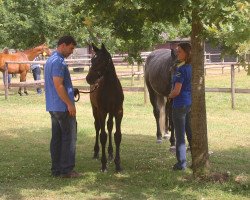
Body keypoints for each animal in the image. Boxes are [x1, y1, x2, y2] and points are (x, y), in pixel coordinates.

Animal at [86, 43, 124, 172]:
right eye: (92, 60)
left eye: (101, 60)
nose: (88, 78)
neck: (110, 88)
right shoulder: (102, 111)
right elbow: (103, 136)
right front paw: (103, 164)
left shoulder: (118, 111)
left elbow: (117, 135)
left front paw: (118, 164)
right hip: (95, 110)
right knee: (97, 127)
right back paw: (96, 152)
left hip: (111, 112)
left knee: (110, 126)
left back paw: (111, 153)